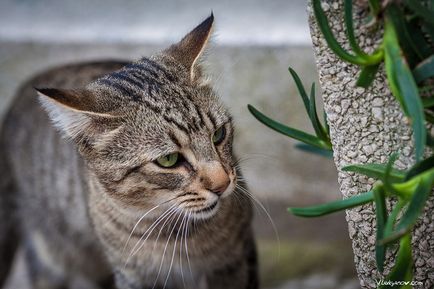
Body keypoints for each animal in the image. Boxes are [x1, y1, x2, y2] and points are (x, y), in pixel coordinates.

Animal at [0, 14, 258, 288]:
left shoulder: (237, 259)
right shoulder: (131, 276)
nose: (222, 184)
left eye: (218, 134)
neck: (175, 237)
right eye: (169, 160)